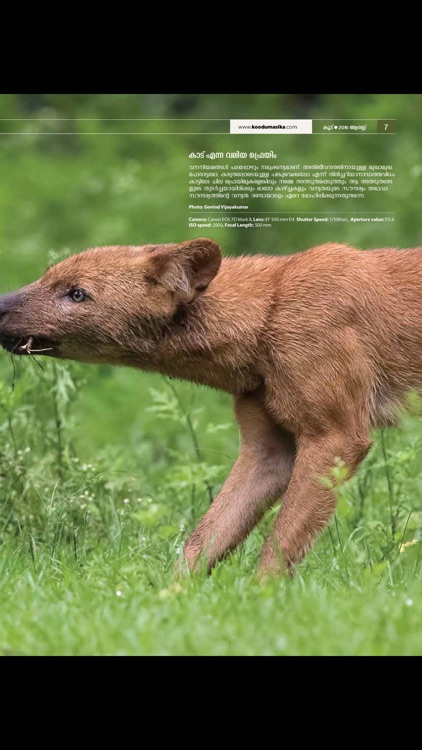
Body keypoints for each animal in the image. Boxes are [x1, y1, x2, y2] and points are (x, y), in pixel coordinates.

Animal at [0, 241, 422, 576]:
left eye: (76, 293)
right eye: (45, 277)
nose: (0, 304)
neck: (267, 316)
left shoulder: (335, 436)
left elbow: (278, 544)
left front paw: (263, 604)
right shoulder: (268, 451)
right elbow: (202, 540)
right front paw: (167, 601)